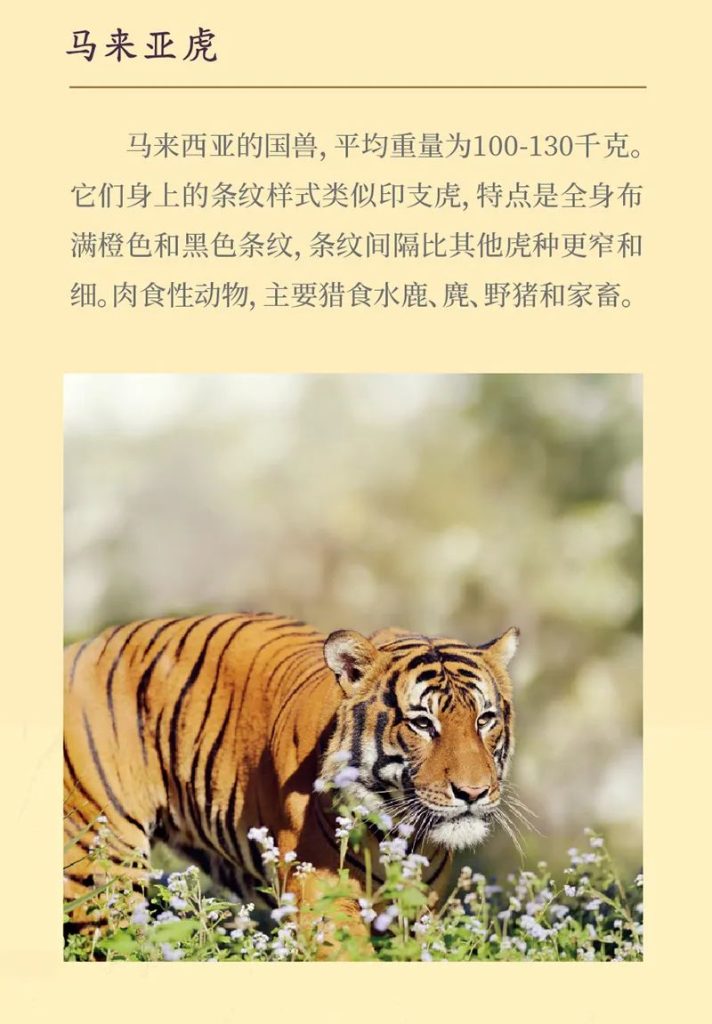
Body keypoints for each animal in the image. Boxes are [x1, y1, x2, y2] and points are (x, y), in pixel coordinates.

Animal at [64, 612, 519, 943]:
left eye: (484, 719)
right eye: (422, 723)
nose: (473, 792)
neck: (402, 838)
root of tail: (82, 646)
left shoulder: (418, 908)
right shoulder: (320, 896)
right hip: (101, 866)